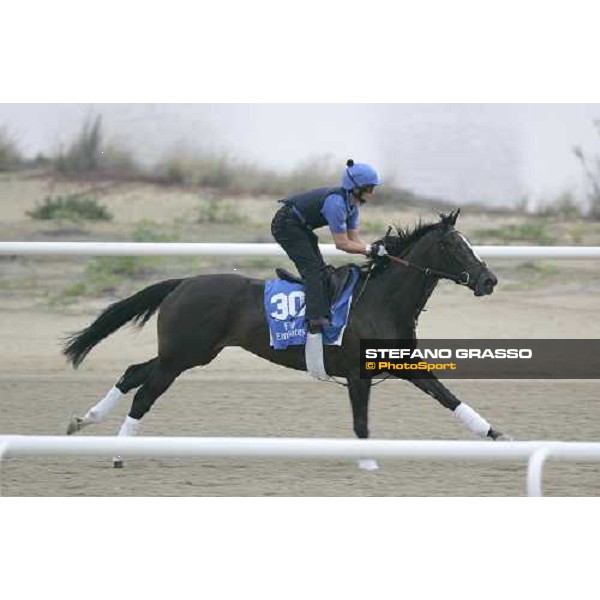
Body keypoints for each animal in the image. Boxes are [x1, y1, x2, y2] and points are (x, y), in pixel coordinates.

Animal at [62, 209, 510, 472]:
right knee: (144, 393)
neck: (380, 300)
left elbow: (448, 397)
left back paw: (85, 420)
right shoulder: (357, 374)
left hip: (191, 353)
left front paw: (497, 435)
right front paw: (367, 462)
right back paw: (118, 452)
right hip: (182, 356)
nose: (489, 279)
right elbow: (361, 422)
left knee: (132, 373)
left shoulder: (401, 363)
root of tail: (183, 282)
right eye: (453, 245)